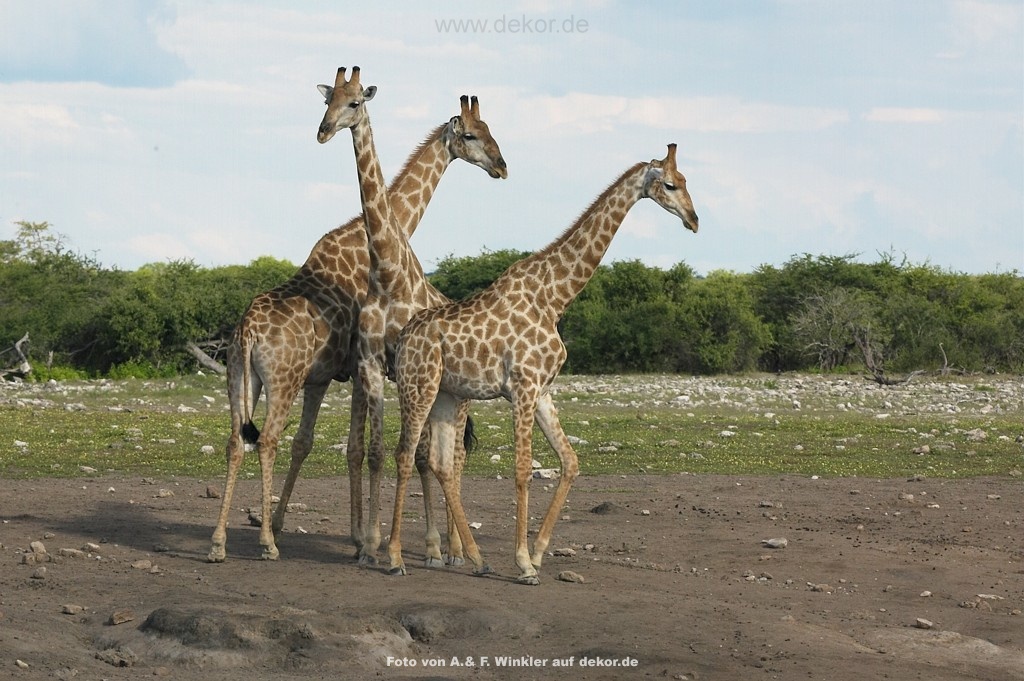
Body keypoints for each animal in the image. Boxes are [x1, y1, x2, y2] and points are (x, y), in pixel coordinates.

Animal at [207, 68, 506, 563]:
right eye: (470, 134)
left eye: (353, 103)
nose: (501, 166)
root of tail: (246, 331)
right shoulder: (356, 368)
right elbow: (359, 448)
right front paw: (363, 538)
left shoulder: (335, 374)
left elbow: (332, 446)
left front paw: (357, 535)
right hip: (278, 381)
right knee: (263, 440)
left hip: (240, 379)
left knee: (238, 441)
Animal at [386, 144, 698, 584]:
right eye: (670, 184)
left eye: (687, 181)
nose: (694, 219)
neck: (554, 298)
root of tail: (403, 339)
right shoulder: (522, 386)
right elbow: (521, 470)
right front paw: (522, 563)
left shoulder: (544, 389)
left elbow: (570, 462)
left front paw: (537, 553)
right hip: (418, 386)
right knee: (404, 454)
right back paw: (395, 557)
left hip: (447, 393)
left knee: (442, 464)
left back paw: (478, 559)